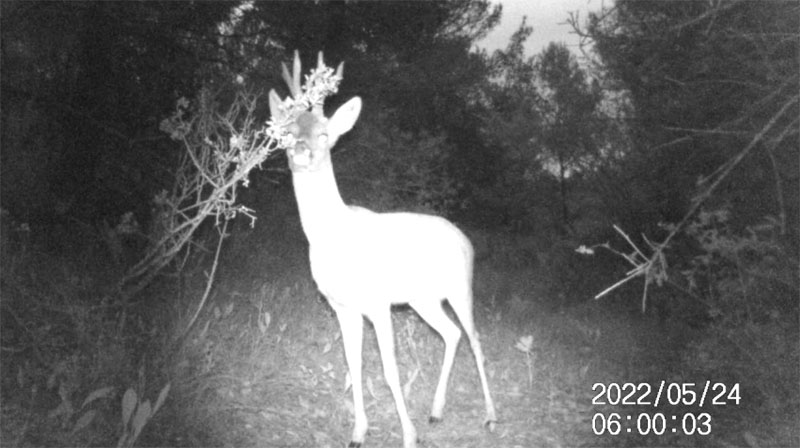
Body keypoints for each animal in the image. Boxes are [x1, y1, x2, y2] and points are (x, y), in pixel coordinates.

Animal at [268, 51, 494, 448]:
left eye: (325, 133)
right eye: (289, 131)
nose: (301, 152)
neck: (332, 235)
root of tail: (464, 238)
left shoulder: (377, 303)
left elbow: (390, 370)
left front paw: (409, 436)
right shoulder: (342, 306)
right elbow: (353, 365)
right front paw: (359, 432)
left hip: (460, 287)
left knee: (475, 340)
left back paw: (491, 417)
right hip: (423, 299)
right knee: (451, 334)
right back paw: (436, 411)